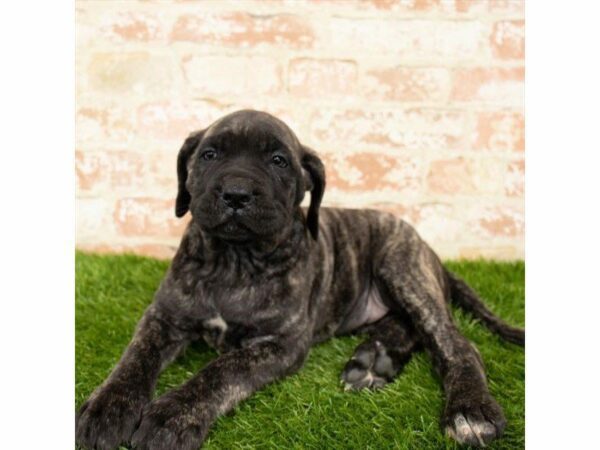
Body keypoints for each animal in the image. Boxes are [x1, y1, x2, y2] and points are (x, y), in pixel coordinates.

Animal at [76, 110, 524, 450]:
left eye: (279, 161)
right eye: (209, 154)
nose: (236, 192)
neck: (234, 260)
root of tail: (429, 251)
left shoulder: (280, 343)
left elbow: (220, 372)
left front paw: (173, 414)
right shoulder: (163, 317)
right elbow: (134, 358)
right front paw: (107, 407)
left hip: (400, 267)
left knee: (451, 340)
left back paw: (468, 409)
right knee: (409, 326)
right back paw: (373, 360)